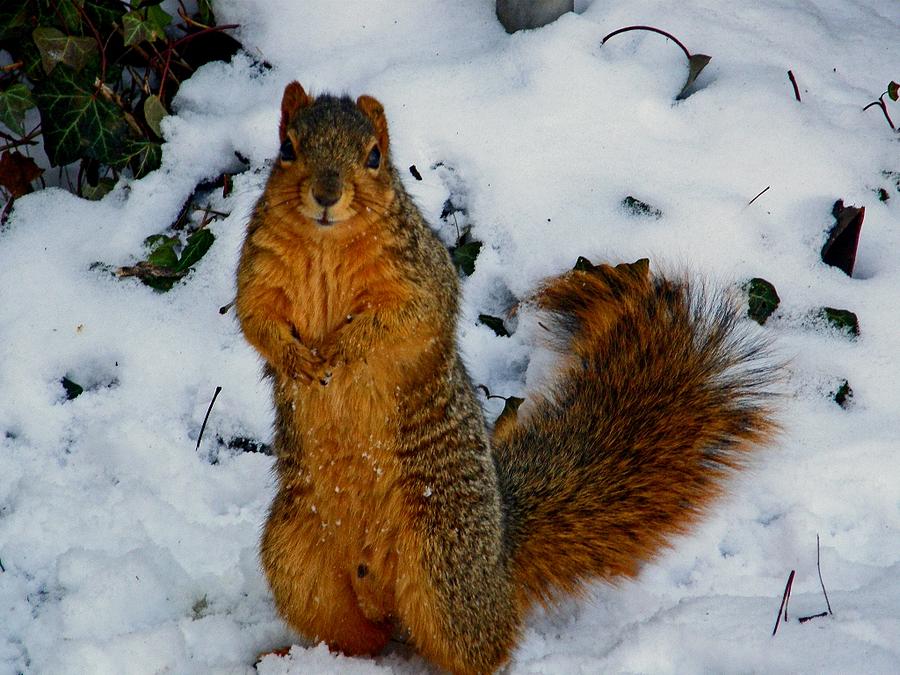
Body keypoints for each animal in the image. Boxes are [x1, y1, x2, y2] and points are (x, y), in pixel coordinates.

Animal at [236, 82, 776, 672]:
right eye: (287, 148)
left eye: (374, 156)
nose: (327, 194)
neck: (325, 245)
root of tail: (500, 550)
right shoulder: (257, 271)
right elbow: (254, 318)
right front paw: (295, 360)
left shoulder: (418, 277)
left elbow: (402, 320)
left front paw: (339, 351)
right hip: (298, 560)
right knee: (360, 637)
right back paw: (293, 653)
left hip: (443, 566)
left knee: (482, 643)